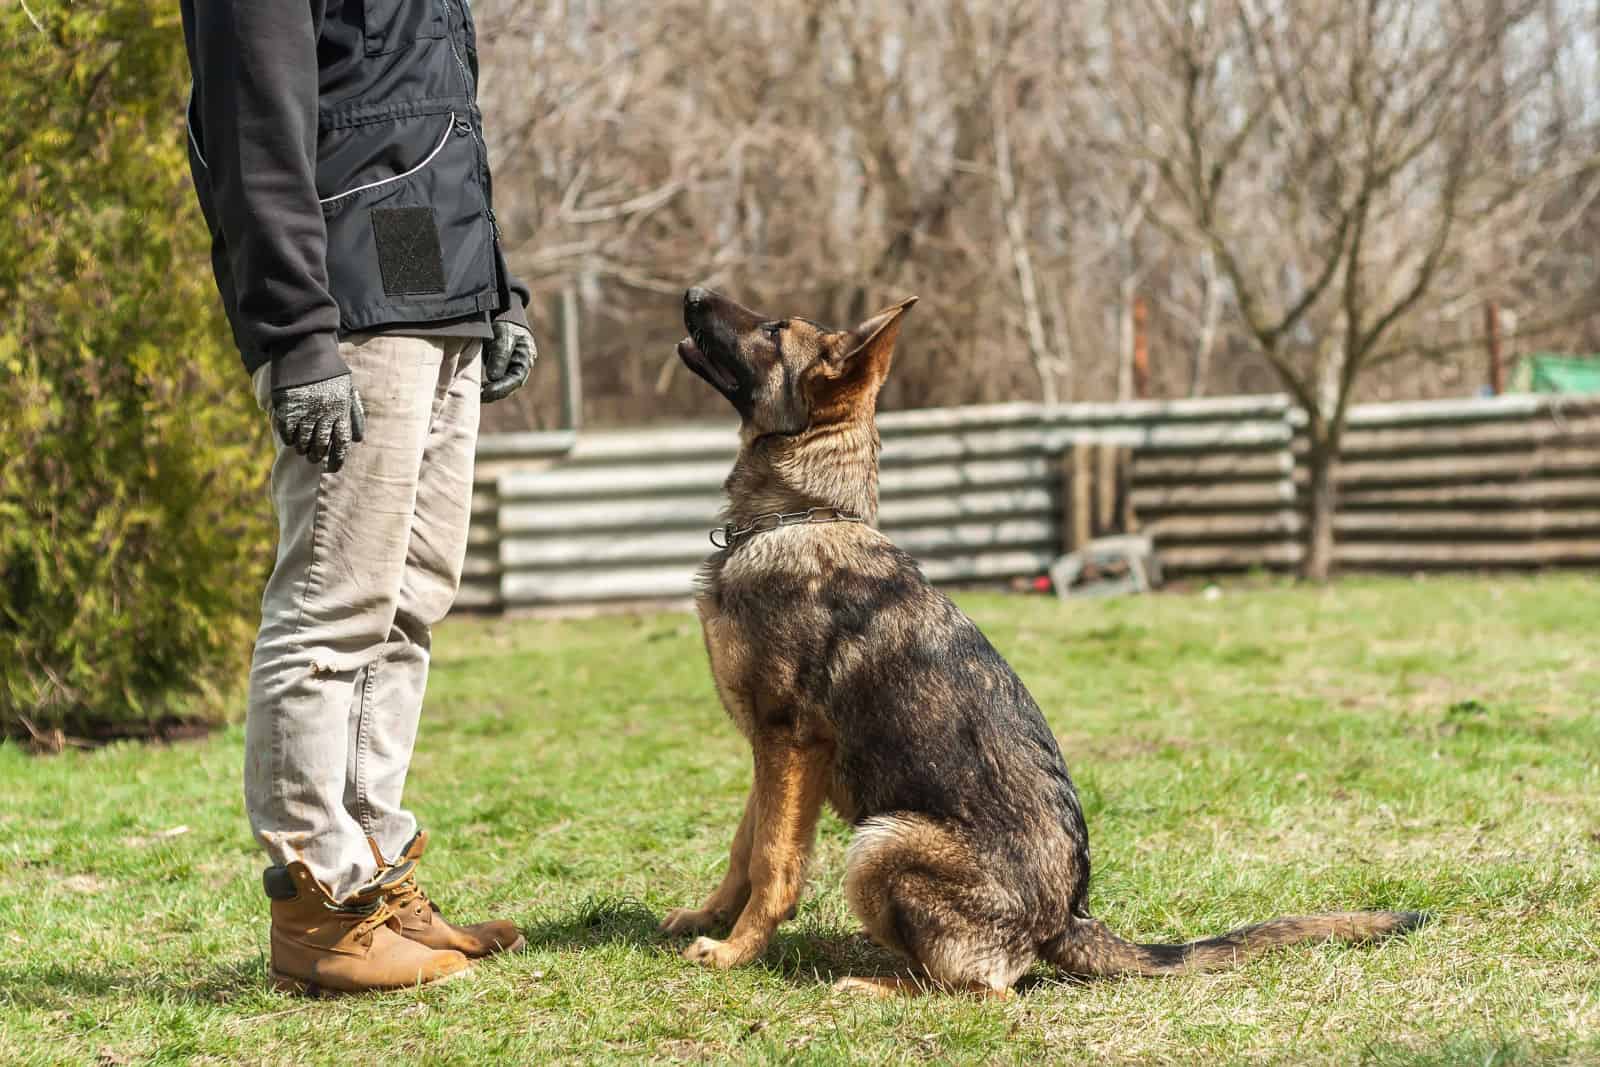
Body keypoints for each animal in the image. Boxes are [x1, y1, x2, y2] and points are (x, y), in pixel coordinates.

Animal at [662, 287, 1427, 998]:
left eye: (773, 330)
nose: (693, 292)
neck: (803, 512)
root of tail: (1068, 918)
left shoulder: (791, 742)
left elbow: (773, 860)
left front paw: (737, 951)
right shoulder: (769, 748)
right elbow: (743, 846)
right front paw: (709, 918)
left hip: (881, 843)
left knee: (981, 985)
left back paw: (874, 985)